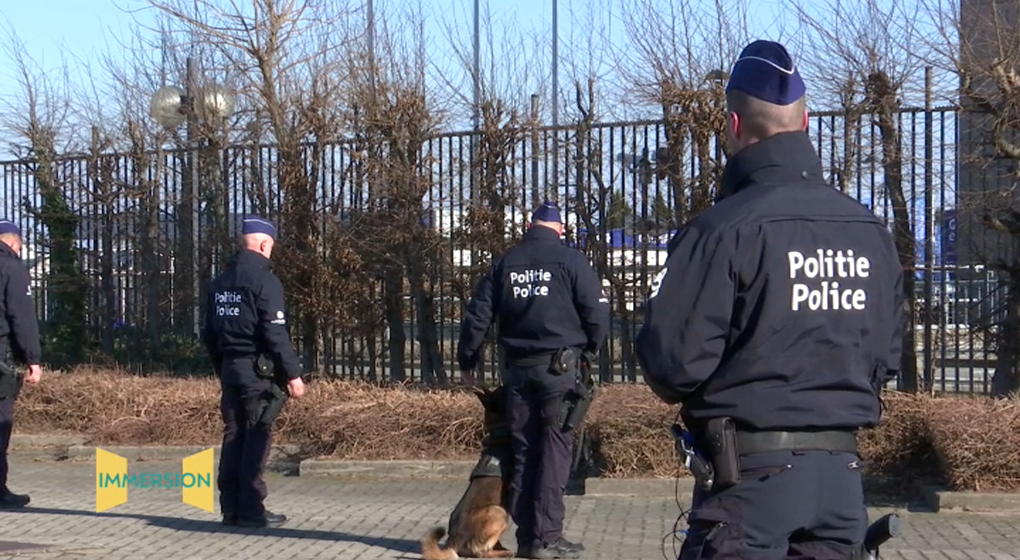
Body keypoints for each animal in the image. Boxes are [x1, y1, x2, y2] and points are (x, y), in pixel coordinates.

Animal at [420, 383, 514, 558]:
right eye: (503, 392)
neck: (499, 430)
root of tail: (454, 540)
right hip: (498, 511)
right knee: (481, 552)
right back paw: (503, 553)